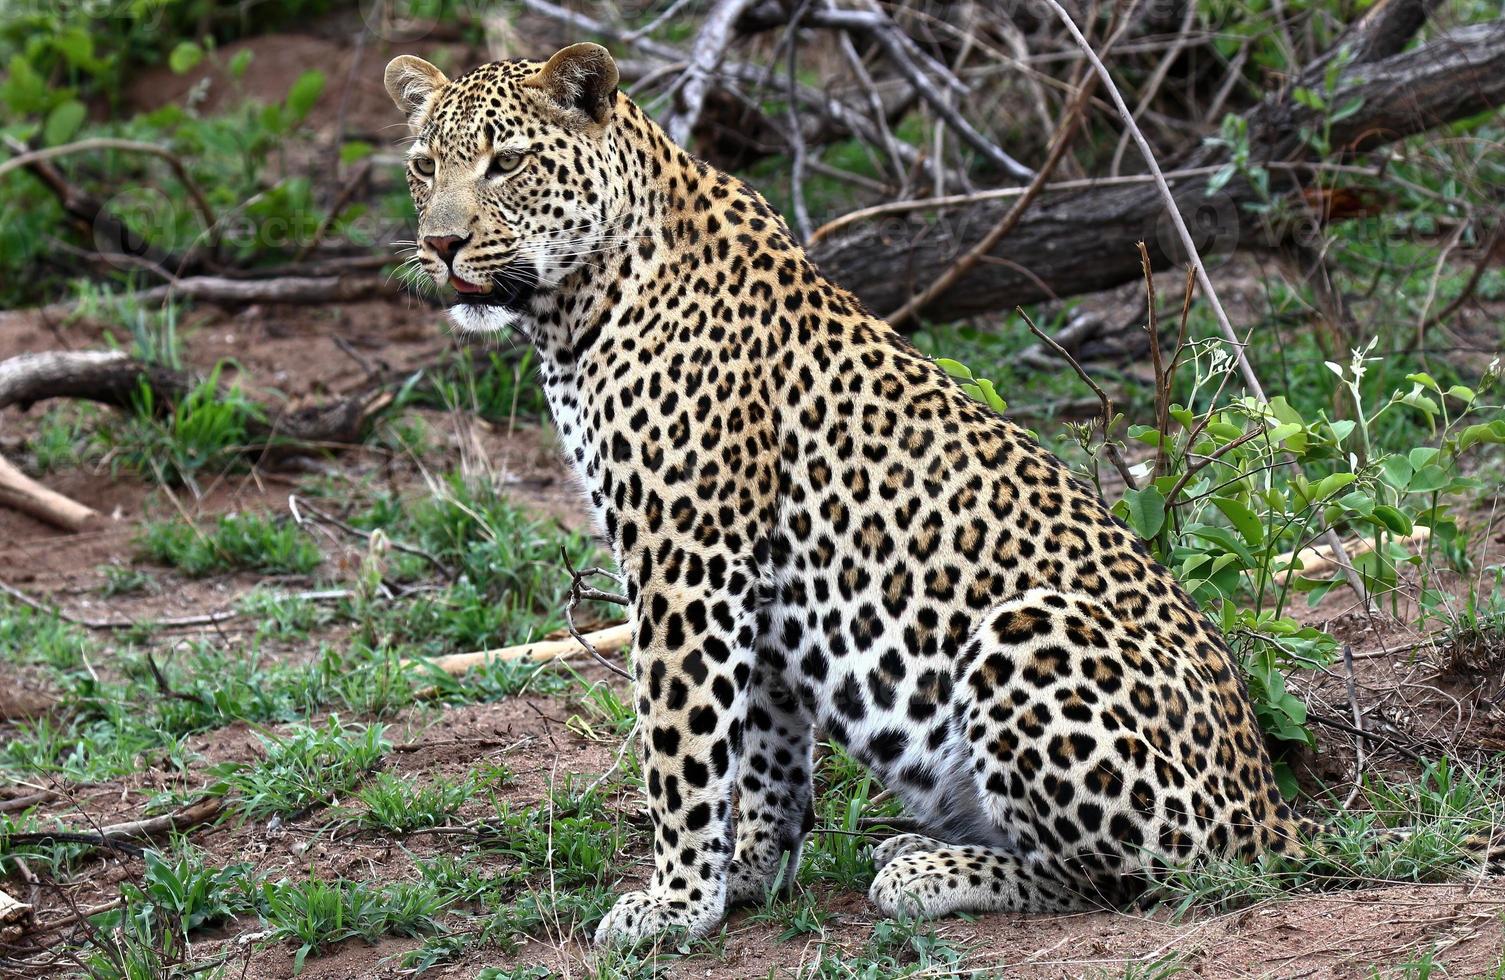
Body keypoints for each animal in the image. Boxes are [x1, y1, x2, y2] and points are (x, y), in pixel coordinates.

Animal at [385, 44, 1492, 945]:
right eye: (424, 166)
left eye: (506, 162)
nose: (439, 245)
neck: (574, 305)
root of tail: (1270, 808)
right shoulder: (755, 581)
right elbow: (765, 745)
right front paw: (748, 872)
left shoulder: (687, 555)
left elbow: (683, 742)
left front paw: (674, 901)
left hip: (1028, 633)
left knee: (1129, 874)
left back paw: (927, 869)